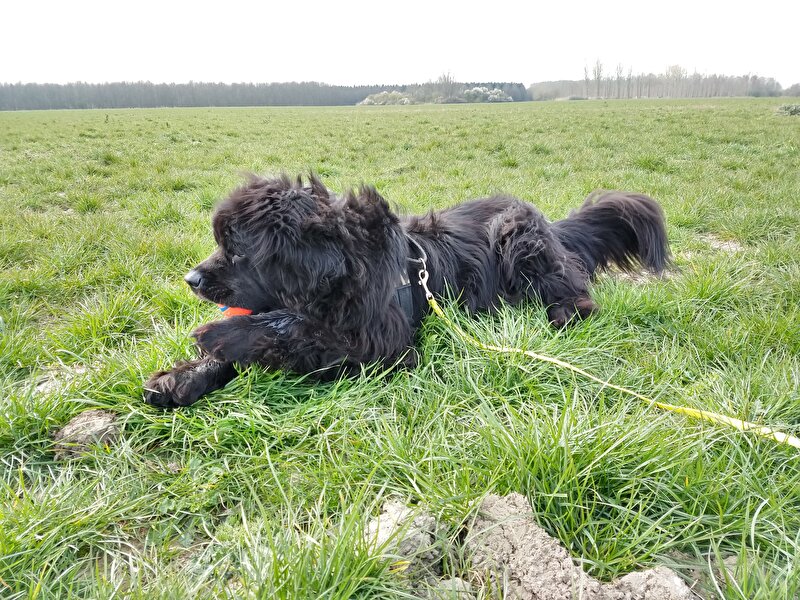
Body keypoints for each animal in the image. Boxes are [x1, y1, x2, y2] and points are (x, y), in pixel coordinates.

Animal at [144, 174, 669, 408]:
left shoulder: (386, 347)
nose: (191, 279)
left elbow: (298, 335)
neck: (347, 268)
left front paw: (220, 337)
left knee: (575, 294)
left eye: (236, 249)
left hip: (517, 234)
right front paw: (183, 377)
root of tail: (554, 227)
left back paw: (561, 314)